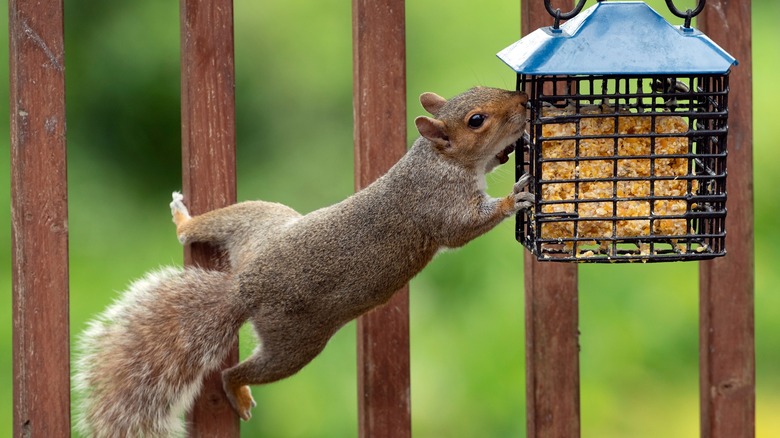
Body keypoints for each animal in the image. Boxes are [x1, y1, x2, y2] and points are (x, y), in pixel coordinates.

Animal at [74, 86, 536, 438]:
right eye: (477, 120)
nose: (522, 101)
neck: (438, 159)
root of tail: (243, 287)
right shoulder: (438, 204)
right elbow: (461, 230)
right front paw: (514, 197)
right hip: (295, 343)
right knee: (234, 373)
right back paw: (237, 390)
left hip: (258, 219)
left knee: (194, 232)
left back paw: (183, 220)